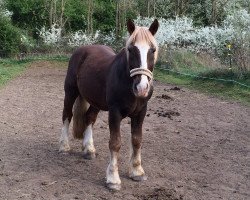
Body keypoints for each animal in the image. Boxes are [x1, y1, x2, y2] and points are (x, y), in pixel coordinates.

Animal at [59, 19, 159, 191]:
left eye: (152, 50)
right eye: (131, 49)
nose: (142, 88)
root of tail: (82, 50)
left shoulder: (140, 112)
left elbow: (137, 140)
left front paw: (137, 171)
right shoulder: (115, 112)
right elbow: (115, 143)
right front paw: (113, 179)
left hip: (95, 101)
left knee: (89, 118)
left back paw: (89, 149)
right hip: (70, 92)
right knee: (67, 115)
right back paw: (64, 147)